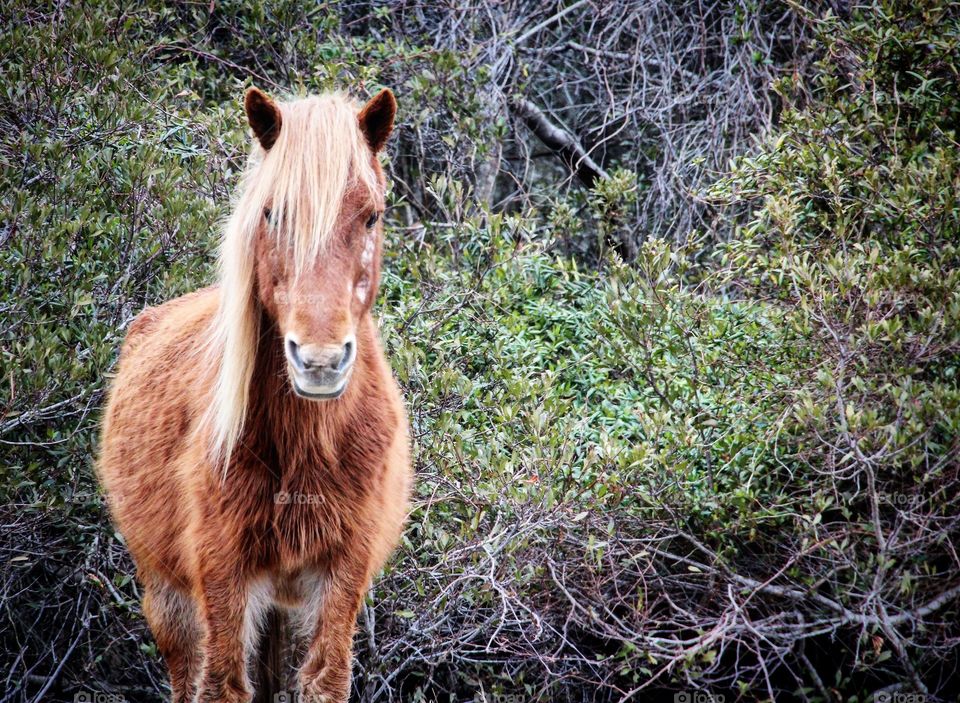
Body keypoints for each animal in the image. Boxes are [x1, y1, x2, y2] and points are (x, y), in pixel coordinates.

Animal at [98, 88, 412, 703]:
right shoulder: (223, 577)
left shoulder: (340, 576)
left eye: (371, 215)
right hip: (171, 599)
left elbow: (324, 680)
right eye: (272, 213)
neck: (306, 449)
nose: (319, 361)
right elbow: (222, 686)